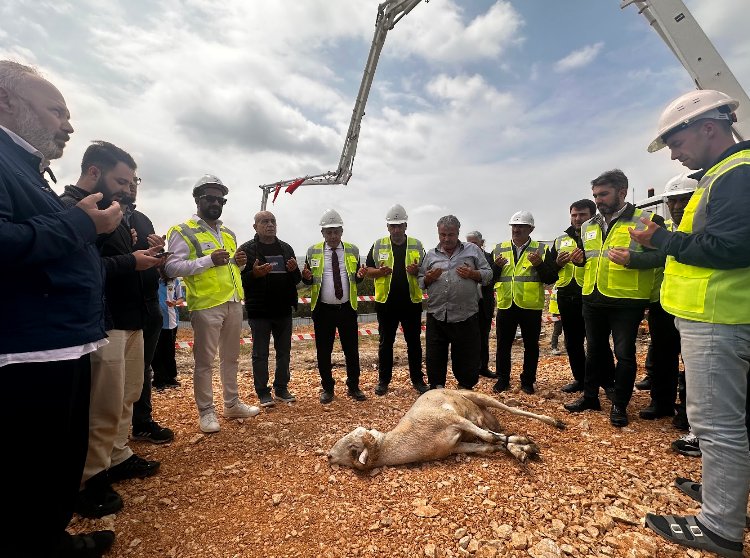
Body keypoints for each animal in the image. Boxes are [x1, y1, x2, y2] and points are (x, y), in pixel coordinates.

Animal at [326, 390, 568, 472]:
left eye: (352, 445)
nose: (328, 455)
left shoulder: (452, 418)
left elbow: (491, 438)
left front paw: (524, 445)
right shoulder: (456, 446)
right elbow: (492, 446)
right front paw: (524, 448)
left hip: (478, 397)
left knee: (513, 410)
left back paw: (556, 422)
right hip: (481, 416)